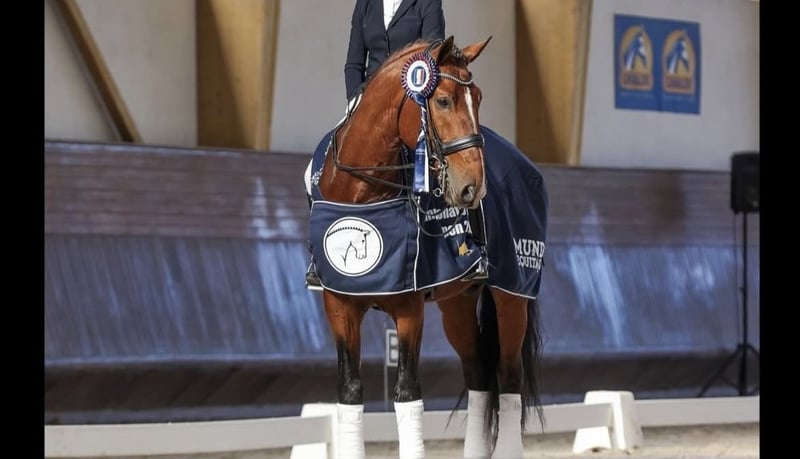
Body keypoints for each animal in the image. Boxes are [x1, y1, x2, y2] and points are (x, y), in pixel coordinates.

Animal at [306, 36, 547, 459]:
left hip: (512, 294)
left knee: (509, 377)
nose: (473, 187)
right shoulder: (339, 305)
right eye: (444, 101)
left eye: (478, 98)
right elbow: (349, 391)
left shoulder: (409, 309)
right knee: (478, 375)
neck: (364, 193)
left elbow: (407, 394)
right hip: (459, 304)